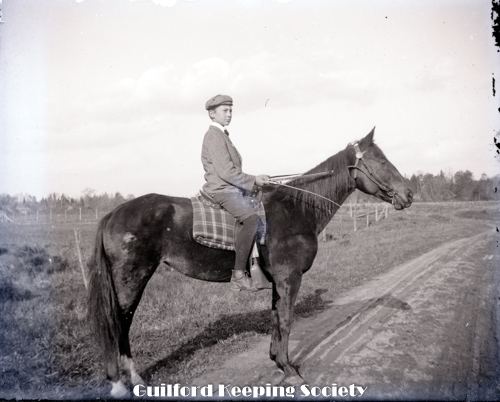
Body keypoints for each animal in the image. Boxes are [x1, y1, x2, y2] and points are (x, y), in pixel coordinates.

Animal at [87, 127, 413, 397]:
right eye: (382, 162)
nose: (408, 194)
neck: (295, 209)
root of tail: (112, 214)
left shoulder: (278, 282)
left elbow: (275, 318)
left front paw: (277, 361)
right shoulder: (290, 278)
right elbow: (286, 321)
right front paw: (290, 369)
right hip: (131, 280)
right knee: (119, 324)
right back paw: (123, 382)